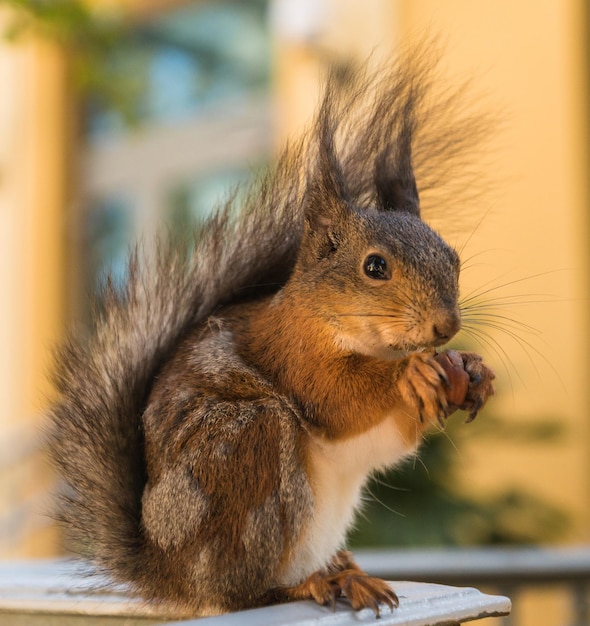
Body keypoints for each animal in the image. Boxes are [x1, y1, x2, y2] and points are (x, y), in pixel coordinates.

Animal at [47, 47, 500, 616]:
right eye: (375, 267)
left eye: (453, 257)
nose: (447, 327)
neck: (359, 338)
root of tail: (170, 576)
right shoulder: (292, 354)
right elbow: (337, 397)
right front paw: (411, 374)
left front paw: (470, 369)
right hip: (249, 446)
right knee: (242, 593)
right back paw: (311, 585)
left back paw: (346, 572)